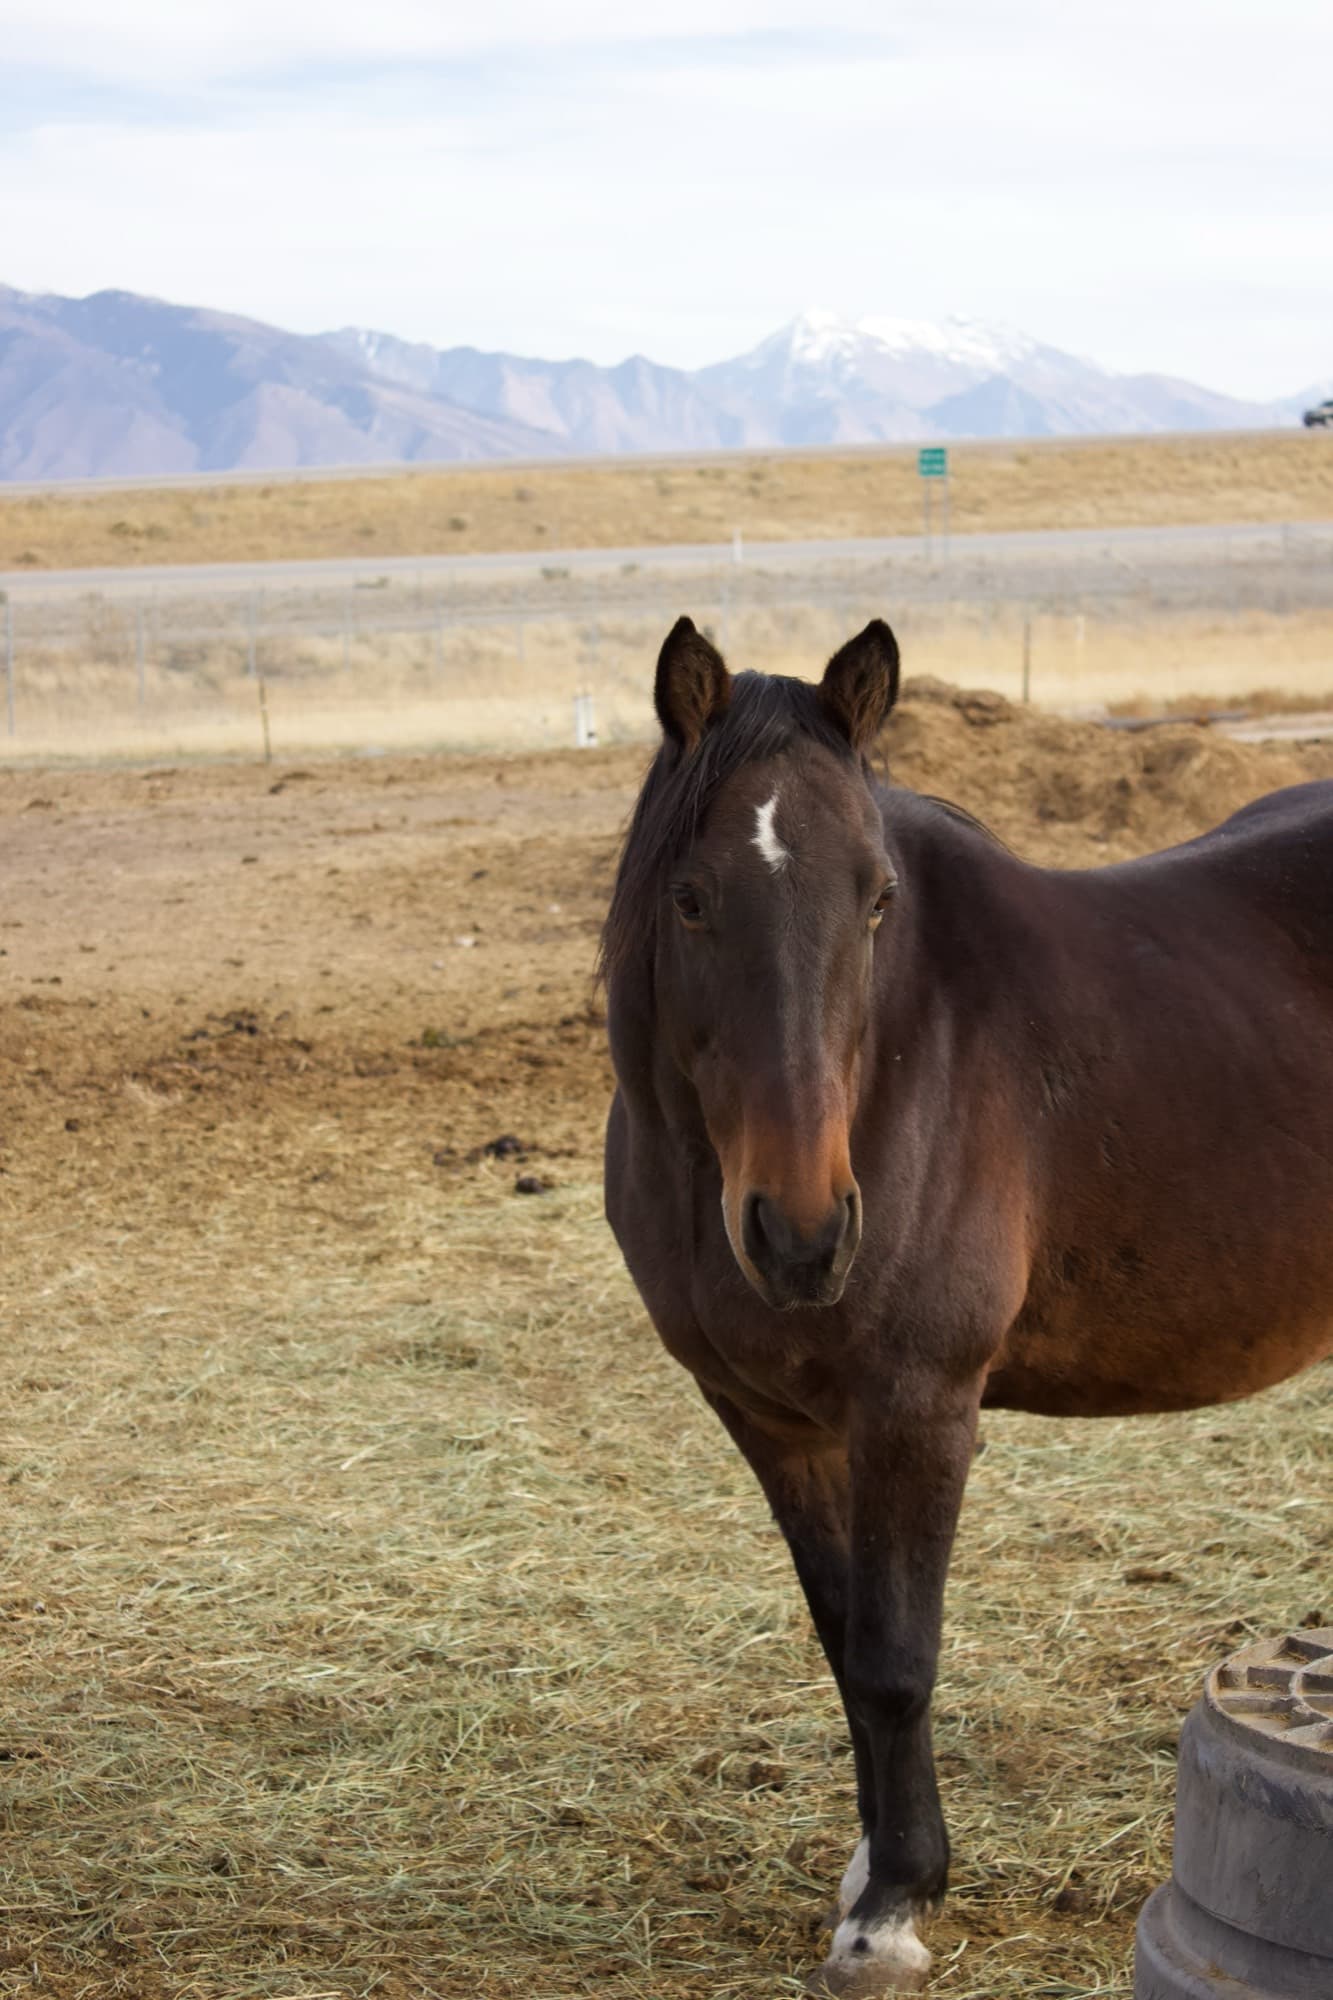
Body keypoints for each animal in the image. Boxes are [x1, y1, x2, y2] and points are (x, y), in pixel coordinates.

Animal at [601, 616, 1333, 1995]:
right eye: (690, 896)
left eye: (877, 896)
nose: (803, 1232)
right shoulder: (771, 1420)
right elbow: (844, 1642)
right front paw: (869, 1865)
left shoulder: (919, 1409)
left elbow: (896, 1657)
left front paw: (893, 1903)